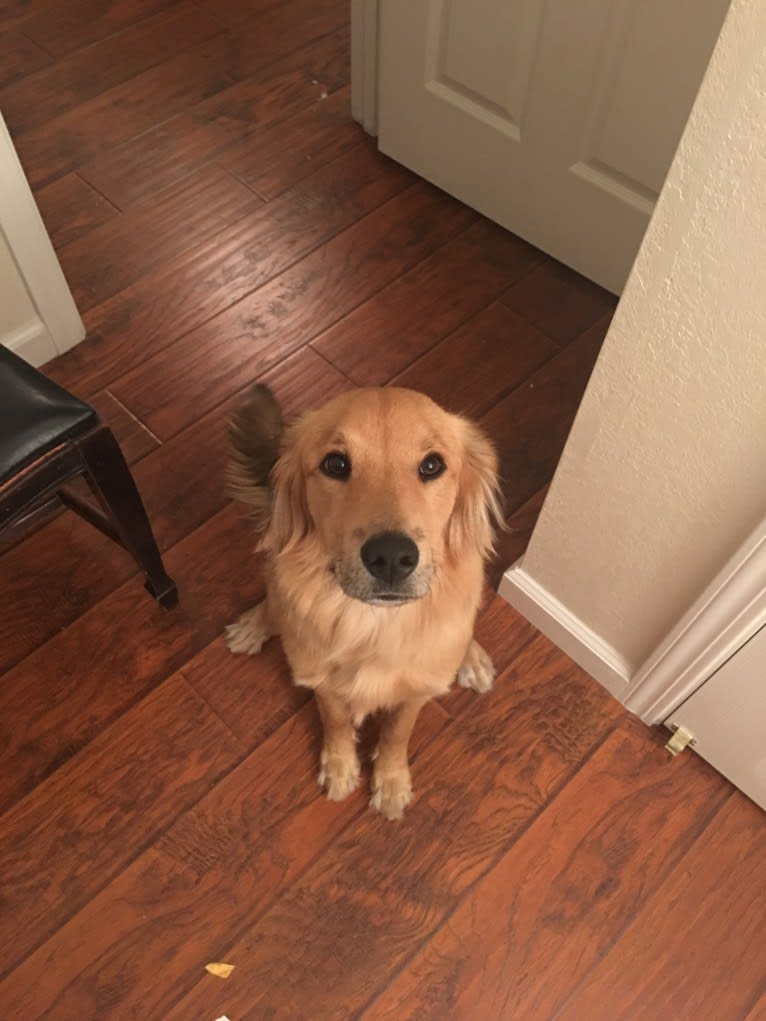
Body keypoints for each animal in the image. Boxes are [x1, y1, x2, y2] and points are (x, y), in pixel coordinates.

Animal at [224, 383, 506, 820]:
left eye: (432, 465)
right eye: (336, 464)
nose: (390, 557)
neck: (374, 625)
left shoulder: (414, 694)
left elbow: (396, 734)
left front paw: (390, 783)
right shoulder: (322, 681)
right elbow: (336, 722)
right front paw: (340, 768)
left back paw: (471, 660)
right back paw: (254, 626)